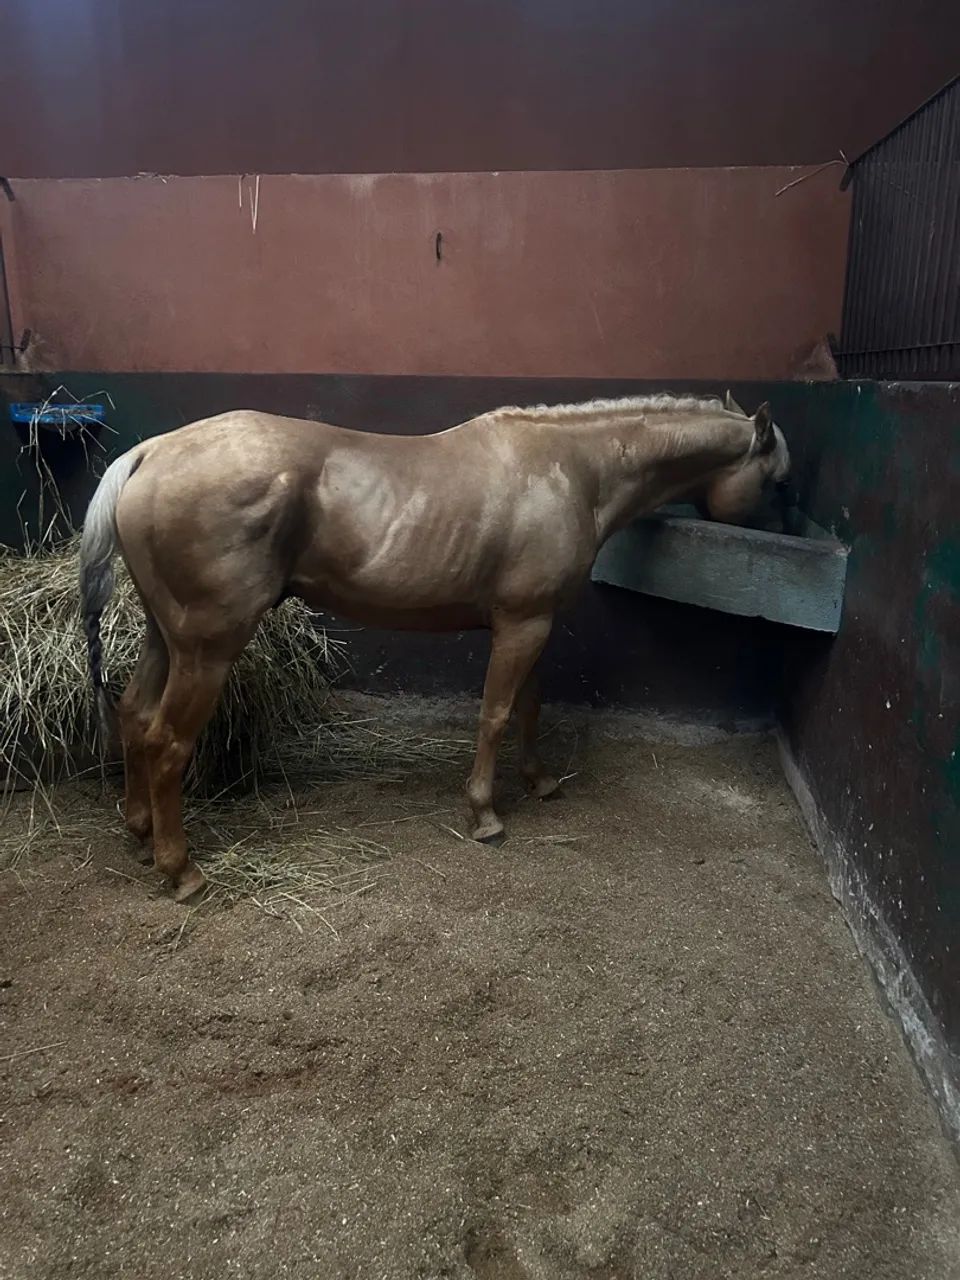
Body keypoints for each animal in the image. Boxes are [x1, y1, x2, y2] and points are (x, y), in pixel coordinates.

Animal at [78, 390, 790, 901]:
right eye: (776, 480)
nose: (780, 535)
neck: (570, 470)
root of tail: (152, 452)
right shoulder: (523, 624)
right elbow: (496, 715)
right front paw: (485, 813)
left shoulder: (531, 623)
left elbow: (529, 707)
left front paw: (539, 782)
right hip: (208, 649)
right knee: (167, 741)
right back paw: (182, 871)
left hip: (167, 637)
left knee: (134, 717)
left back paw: (141, 833)